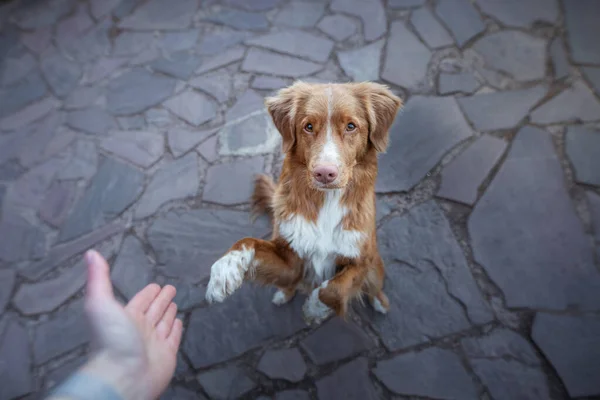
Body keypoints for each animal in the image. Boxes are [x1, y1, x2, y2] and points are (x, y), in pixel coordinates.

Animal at [205, 82, 404, 324]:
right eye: (308, 126)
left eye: (351, 126)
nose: (325, 173)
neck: (327, 201)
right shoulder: (292, 259)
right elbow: (249, 241)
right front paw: (224, 270)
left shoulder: (362, 258)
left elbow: (334, 288)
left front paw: (316, 307)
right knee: (289, 283)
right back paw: (283, 294)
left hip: (376, 265)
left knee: (374, 286)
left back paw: (380, 303)